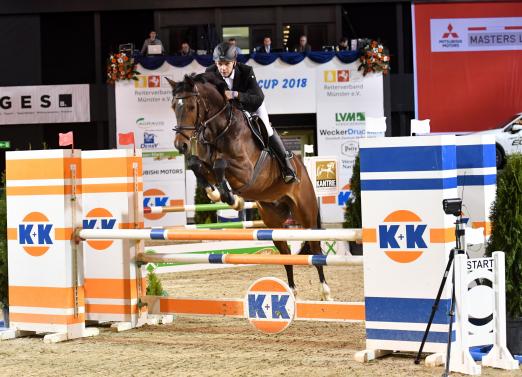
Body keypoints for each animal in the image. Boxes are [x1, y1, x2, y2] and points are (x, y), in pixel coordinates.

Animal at [165, 73, 332, 300]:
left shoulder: (246, 171)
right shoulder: (205, 164)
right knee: (285, 254)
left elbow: (220, 164)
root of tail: (302, 167)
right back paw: (290, 292)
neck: (220, 130)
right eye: (174, 106)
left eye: (191, 107)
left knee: (315, 250)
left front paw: (232, 198)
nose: (180, 145)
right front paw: (216, 193)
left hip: (306, 214)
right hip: (273, 219)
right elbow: (196, 163)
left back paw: (325, 292)